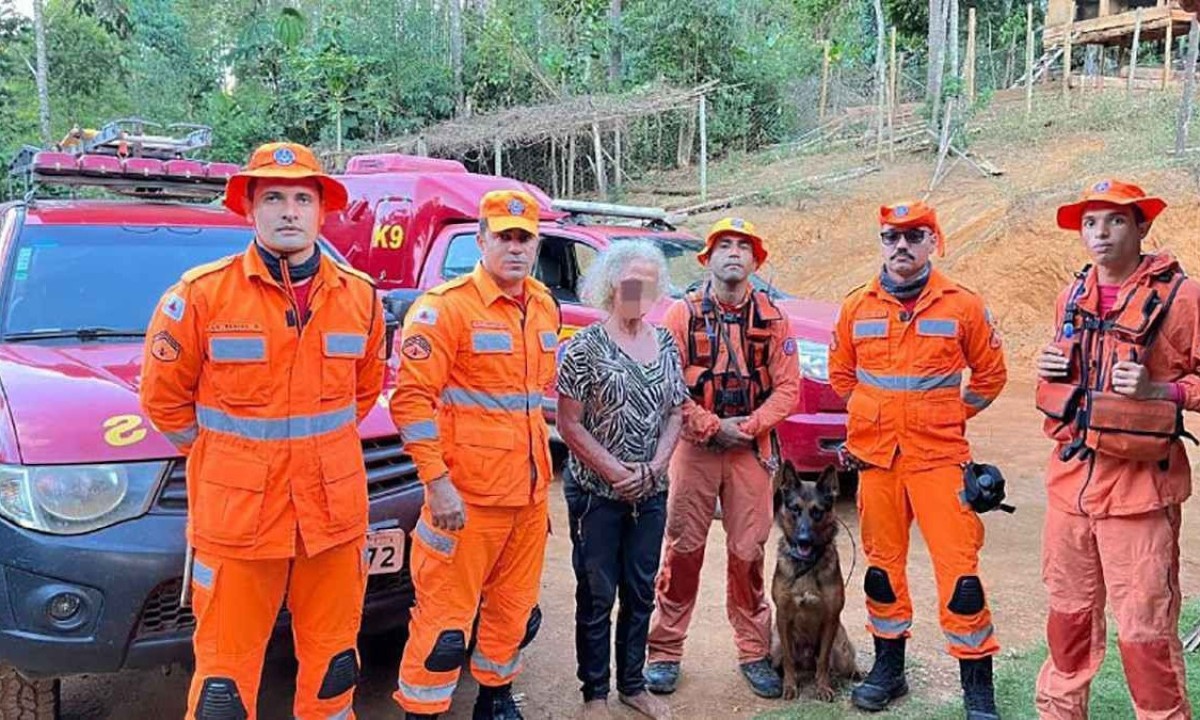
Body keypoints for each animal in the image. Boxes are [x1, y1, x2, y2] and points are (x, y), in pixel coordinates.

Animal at [772, 463, 859, 700]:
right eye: (795, 509)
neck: (807, 565)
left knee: (842, 665)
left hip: (841, 649)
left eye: (817, 512)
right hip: (774, 646)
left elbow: (823, 660)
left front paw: (823, 687)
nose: (804, 540)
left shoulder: (830, 619)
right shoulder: (782, 617)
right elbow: (789, 660)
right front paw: (790, 686)